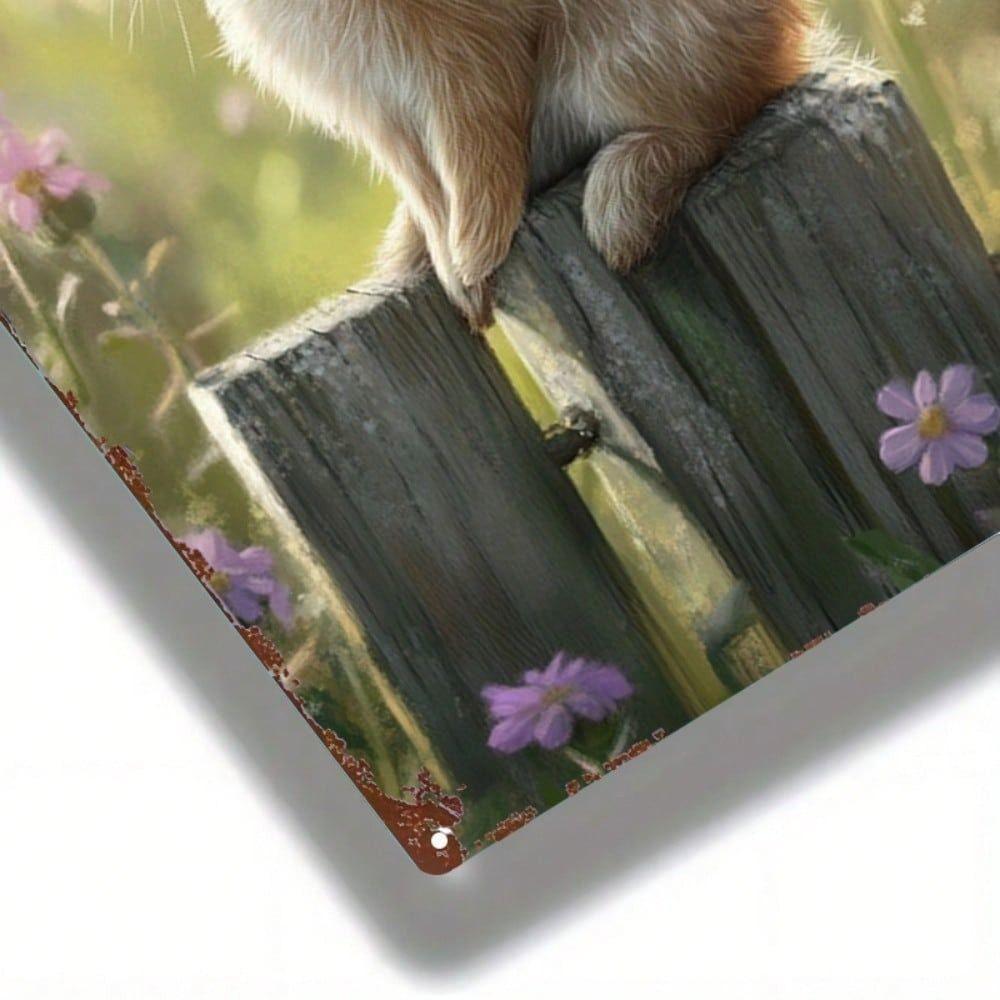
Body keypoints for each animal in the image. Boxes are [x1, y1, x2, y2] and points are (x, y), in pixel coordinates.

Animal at [204, 0, 808, 328]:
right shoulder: (382, 116)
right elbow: (424, 186)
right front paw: (458, 281)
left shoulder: (464, 60)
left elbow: (473, 148)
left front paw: (474, 258)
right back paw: (402, 254)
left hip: (634, 58)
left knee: (718, 117)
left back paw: (619, 216)